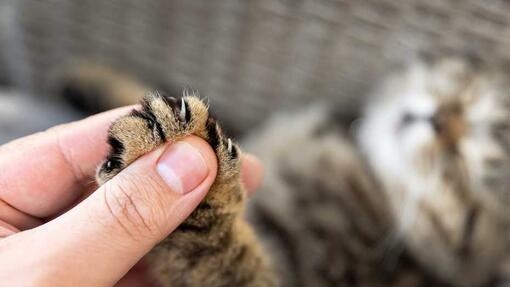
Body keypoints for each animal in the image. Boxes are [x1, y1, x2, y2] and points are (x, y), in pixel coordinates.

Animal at [63, 53, 510, 286]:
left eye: (468, 209)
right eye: (467, 93)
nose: (438, 120)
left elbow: (223, 255)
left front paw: (207, 197)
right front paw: (96, 80)